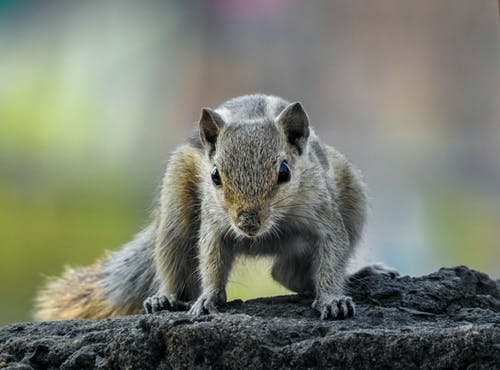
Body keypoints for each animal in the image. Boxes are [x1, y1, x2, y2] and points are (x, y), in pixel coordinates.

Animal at [33, 94, 384, 320]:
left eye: (284, 171)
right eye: (215, 175)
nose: (247, 222)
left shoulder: (324, 215)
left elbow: (331, 255)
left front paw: (333, 300)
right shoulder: (215, 223)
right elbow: (211, 260)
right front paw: (208, 299)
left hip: (352, 196)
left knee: (285, 272)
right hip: (175, 207)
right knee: (173, 257)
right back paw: (165, 298)